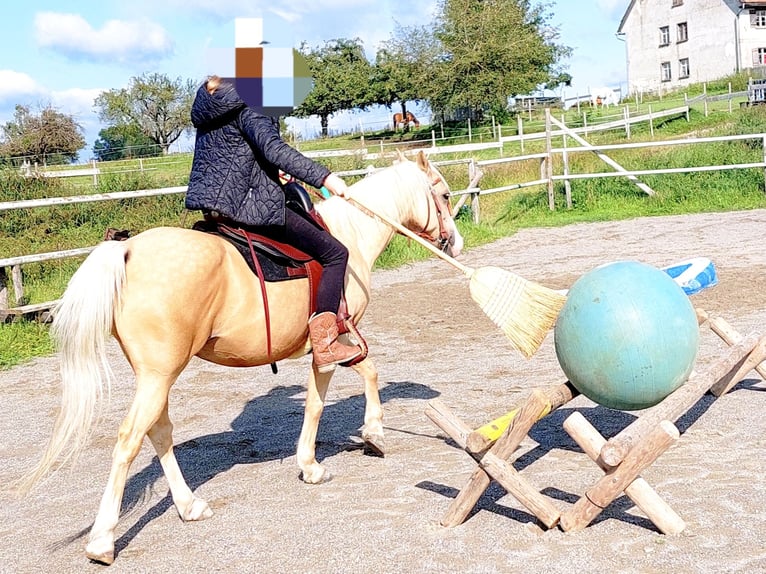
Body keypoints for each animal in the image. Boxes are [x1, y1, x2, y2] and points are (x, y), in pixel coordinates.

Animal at [19, 150, 463, 565]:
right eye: (443, 194)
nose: (456, 243)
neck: (350, 237)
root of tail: (126, 249)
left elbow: (348, 383)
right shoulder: (334, 340)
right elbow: (332, 395)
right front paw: (354, 444)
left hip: (156, 376)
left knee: (158, 431)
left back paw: (188, 506)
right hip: (159, 375)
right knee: (130, 439)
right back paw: (103, 541)